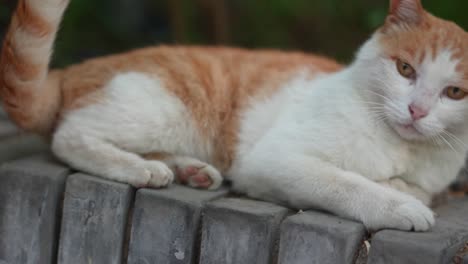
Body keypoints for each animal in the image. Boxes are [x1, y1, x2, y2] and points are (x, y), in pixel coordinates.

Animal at [0, 0, 468, 231]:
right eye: (405, 69)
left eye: (454, 92)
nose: (416, 110)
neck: (400, 147)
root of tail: (75, 69)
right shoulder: (275, 159)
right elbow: (345, 183)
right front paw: (400, 206)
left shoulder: (430, 178)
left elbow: (413, 187)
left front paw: (400, 188)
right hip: (164, 107)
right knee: (70, 135)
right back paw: (140, 169)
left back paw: (189, 171)